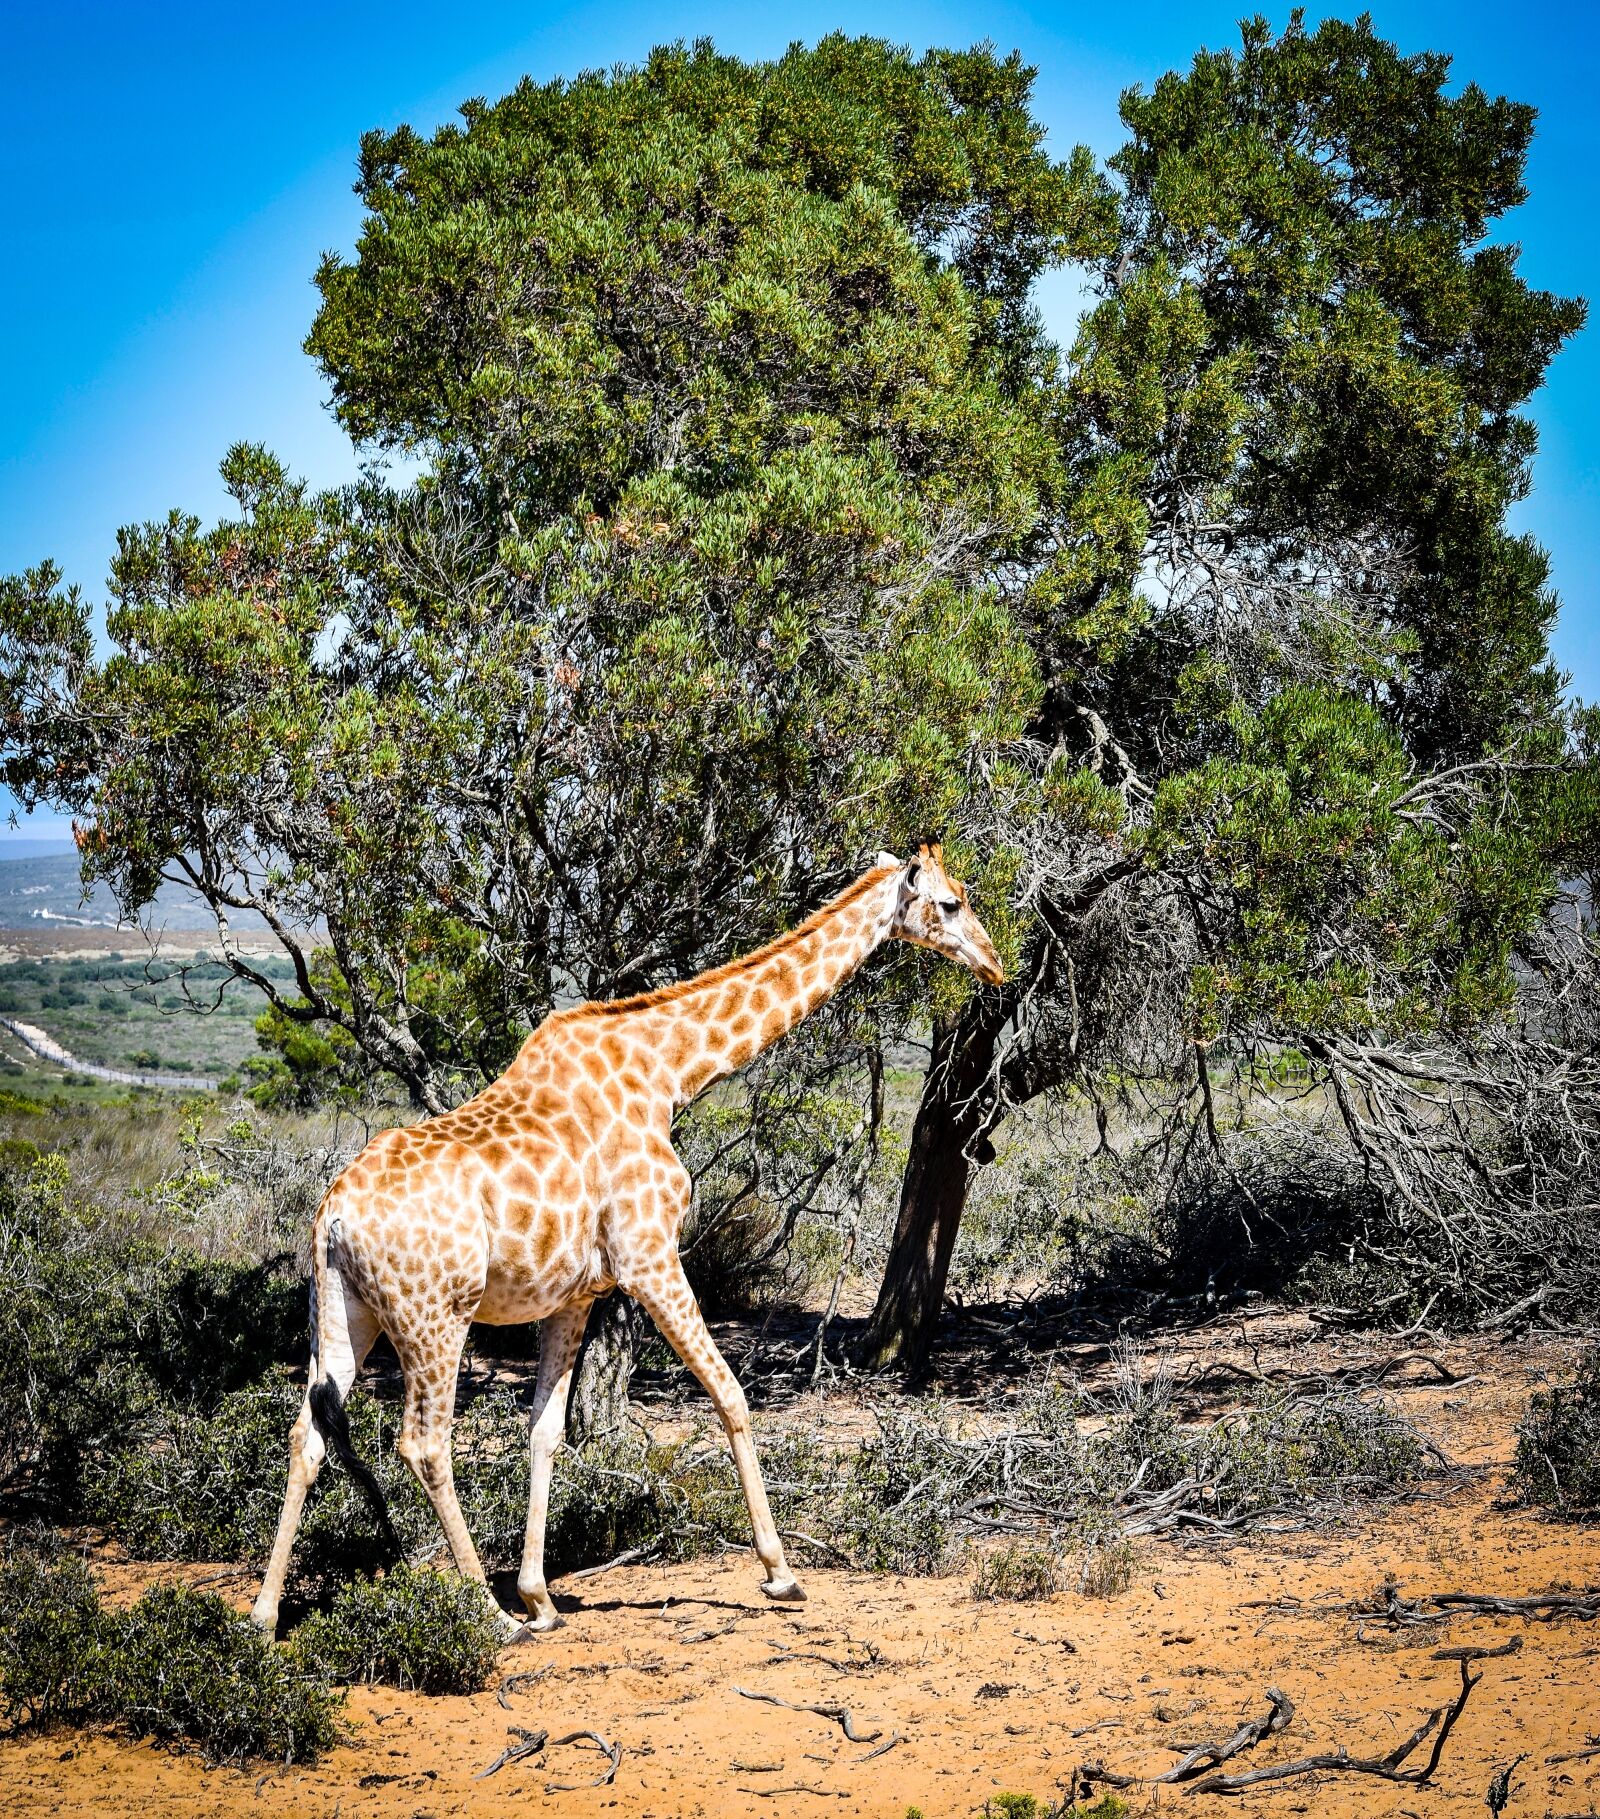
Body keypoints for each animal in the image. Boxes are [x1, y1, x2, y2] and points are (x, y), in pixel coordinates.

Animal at [250, 843, 1003, 1638]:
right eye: (951, 903)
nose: (995, 965)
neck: (670, 1072)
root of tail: (333, 1216)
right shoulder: (650, 1257)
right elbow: (730, 1393)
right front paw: (780, 1572)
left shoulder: (576, 1292)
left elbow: (545, 1430)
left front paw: (541, 1596)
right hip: (436, 1315)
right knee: (423, 1443)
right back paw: (486, 1614)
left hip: (345, 1309)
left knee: (307, 1434)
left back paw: (265, 1616)